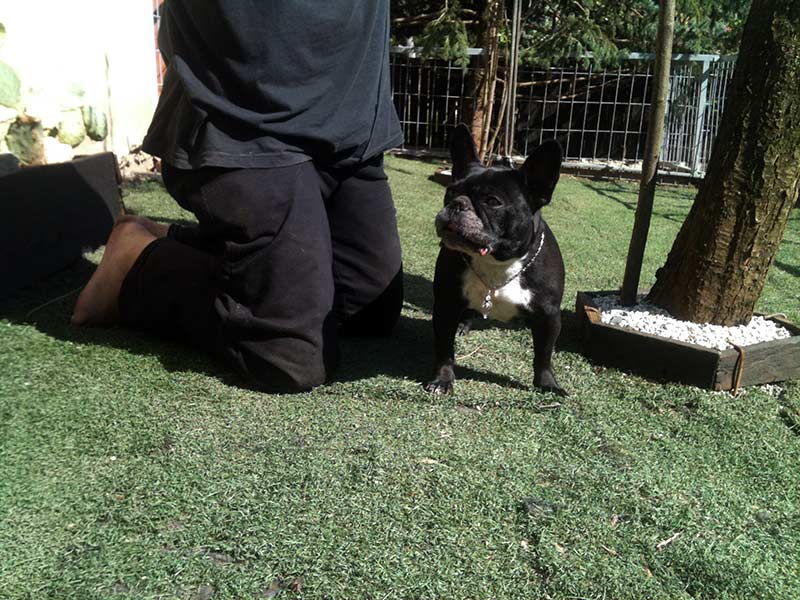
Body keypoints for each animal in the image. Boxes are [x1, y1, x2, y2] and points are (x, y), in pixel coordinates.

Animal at [425, 124, 567, 396]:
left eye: (493, 202)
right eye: (450, 192)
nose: (457, 204)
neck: (498, 263)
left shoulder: (549, 315)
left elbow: (544, 354)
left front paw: (547, 384)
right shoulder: (446, 304)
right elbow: (444, 348)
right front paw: (442, 379)